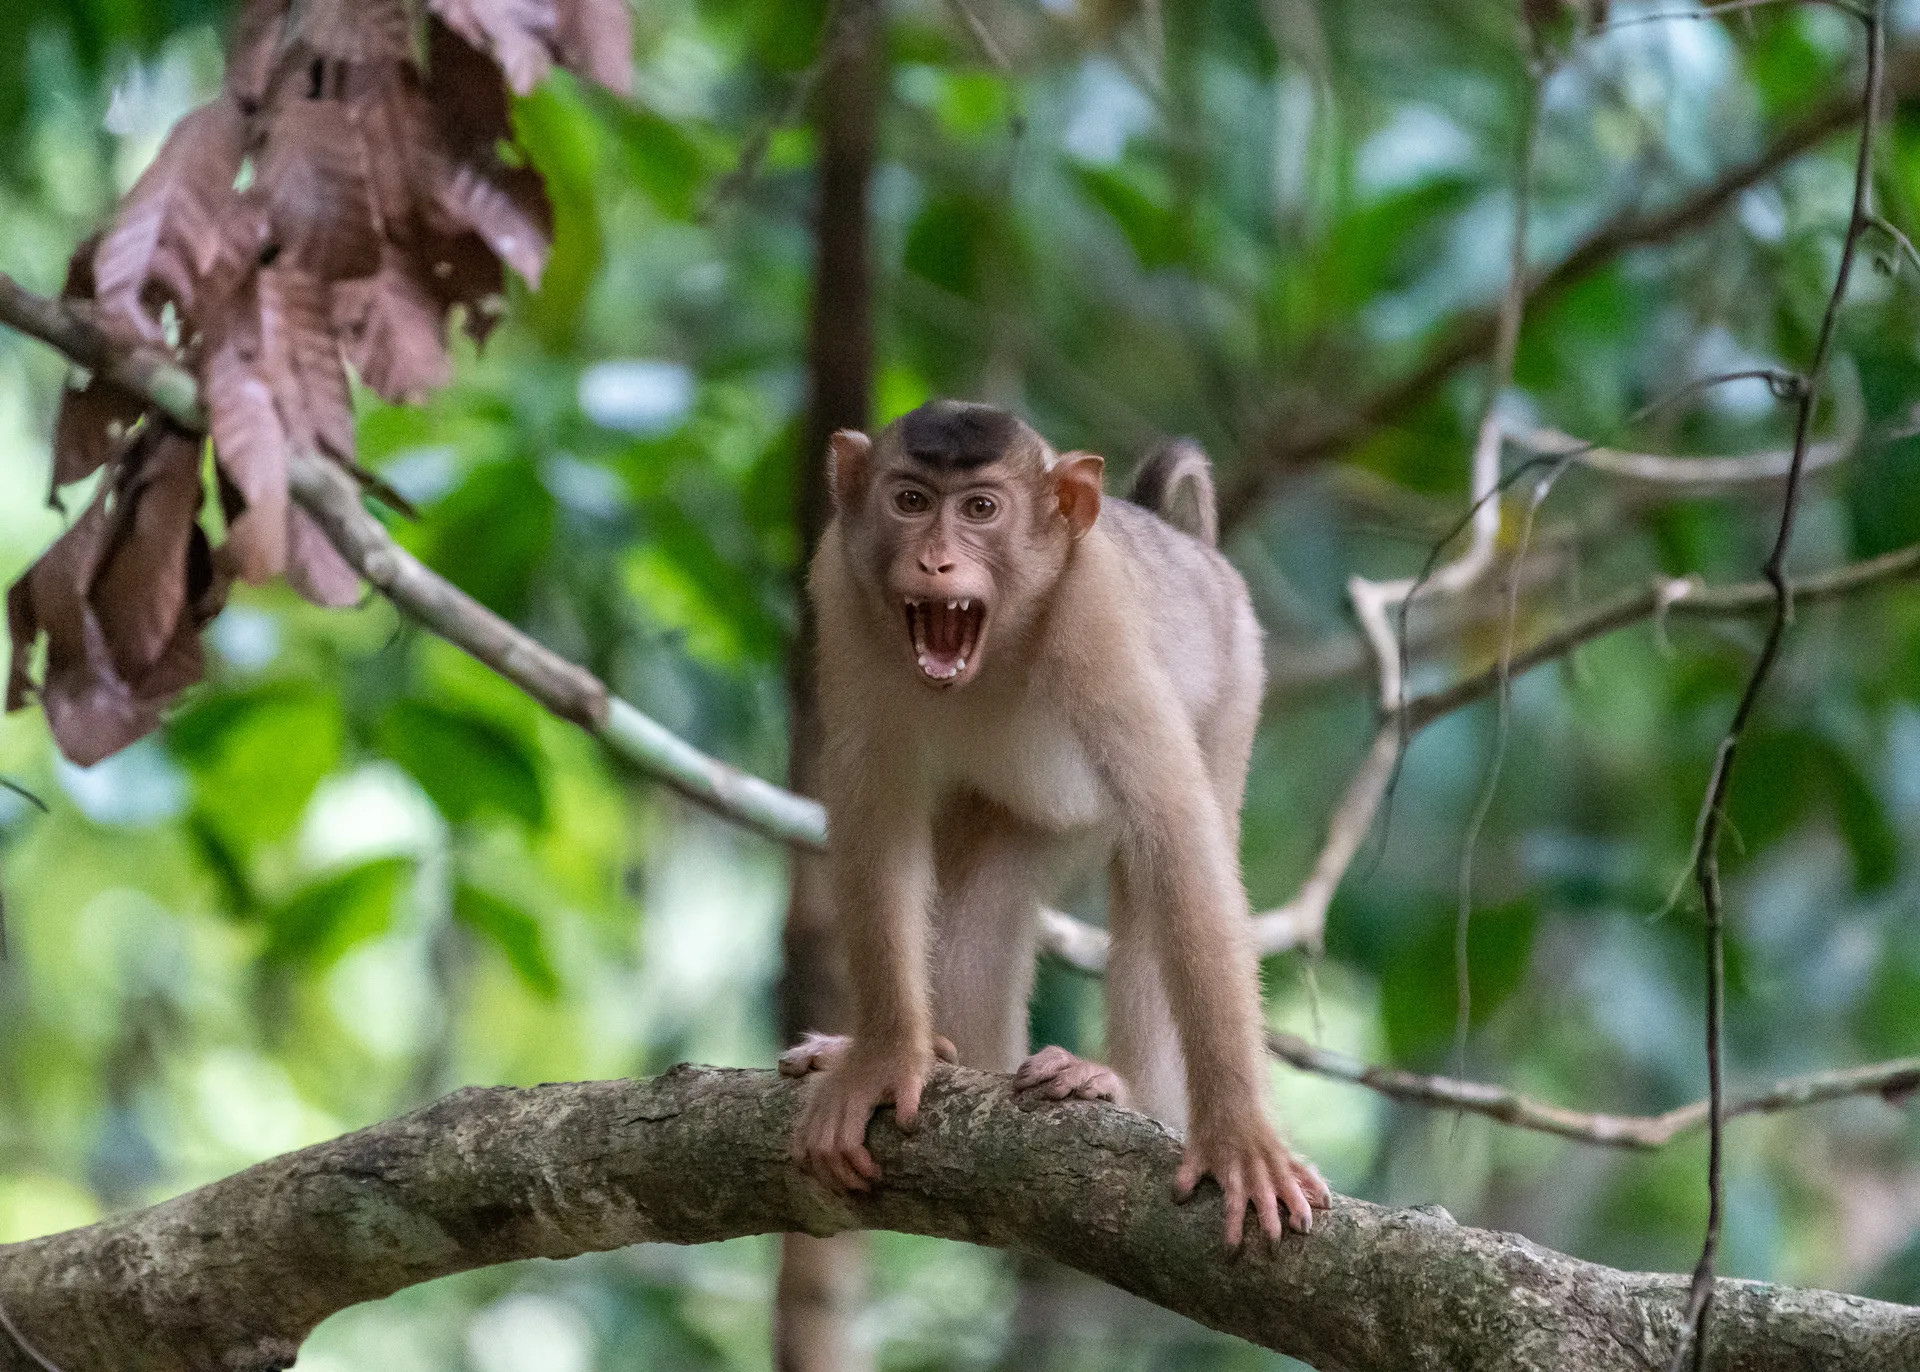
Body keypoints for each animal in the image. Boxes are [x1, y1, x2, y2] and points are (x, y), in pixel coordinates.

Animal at [782, 400, 1331, 1245]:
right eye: (910, 501)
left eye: (981, 508)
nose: (935, 562)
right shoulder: (841, 591)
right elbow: (877, 814)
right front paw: (882, 1055)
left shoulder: (1092, 612)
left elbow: (1175, 831)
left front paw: (1241, 1139)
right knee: (981, 892)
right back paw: (956, 1055)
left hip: (1239, 675)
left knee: (1156, 860)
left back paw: (1121, 1084)